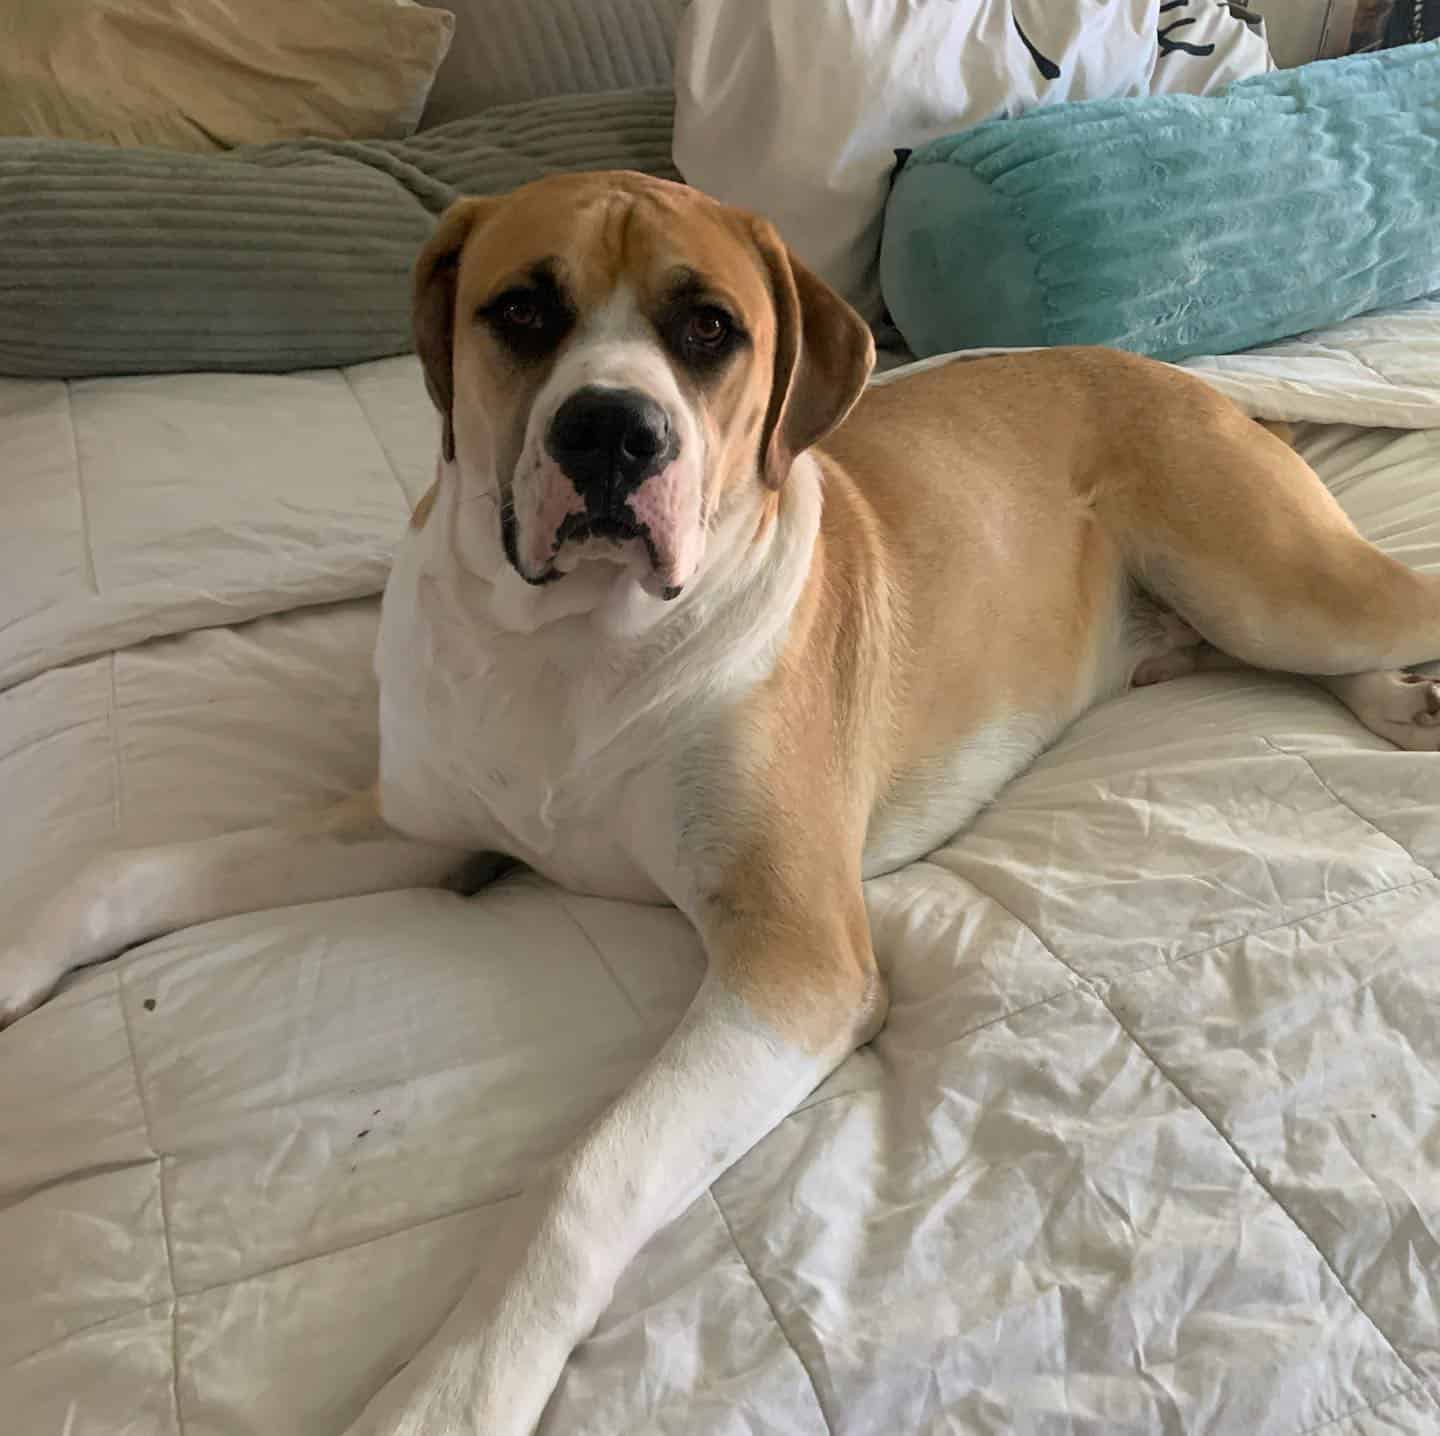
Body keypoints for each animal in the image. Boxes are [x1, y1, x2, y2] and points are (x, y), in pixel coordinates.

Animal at [2, 170, 1440, 1434]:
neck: (570, 647)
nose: (610, 433)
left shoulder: (792, 956)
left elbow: (586, 1174)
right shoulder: (421, 833)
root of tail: (1173, 369)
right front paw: (17, 956)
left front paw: (450, 1390)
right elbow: (129, 870)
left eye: (709, 331)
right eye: (522, 311)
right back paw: (1392, 703)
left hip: (1276, 579)